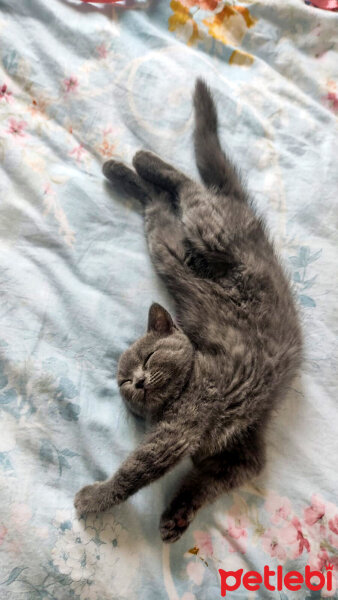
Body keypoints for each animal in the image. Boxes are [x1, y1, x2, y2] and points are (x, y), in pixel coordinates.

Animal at [74, 79, 302, 544]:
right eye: (124, 381)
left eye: (148, 358)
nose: (139, 381)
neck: (189, 379)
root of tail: (250, 221)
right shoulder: (241, 454)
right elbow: (207, 481)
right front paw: (178, 515)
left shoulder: (187, 426)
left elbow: (138, 469)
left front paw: (94, 498)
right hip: (166, 248)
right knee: (157, 207)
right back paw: (121, 171)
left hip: (211, 232)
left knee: (188, 190)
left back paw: (141, 160)